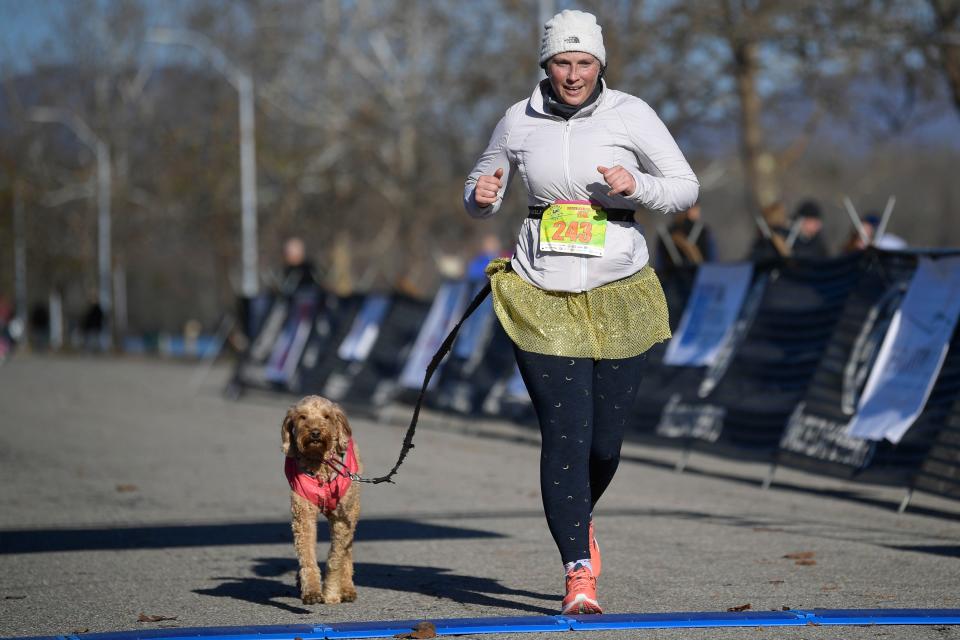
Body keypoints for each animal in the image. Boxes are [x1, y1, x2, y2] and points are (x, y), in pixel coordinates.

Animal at [284, 396, 364, 604]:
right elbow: (307, 555)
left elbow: (336, 558)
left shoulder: (341, 520)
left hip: (352, 510)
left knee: (347, 551)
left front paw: (331, 593)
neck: (320, 464)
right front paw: (311, 591)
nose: (315, 432)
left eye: (326, 417)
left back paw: (347, 588)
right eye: (302, 417)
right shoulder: (303, 516)